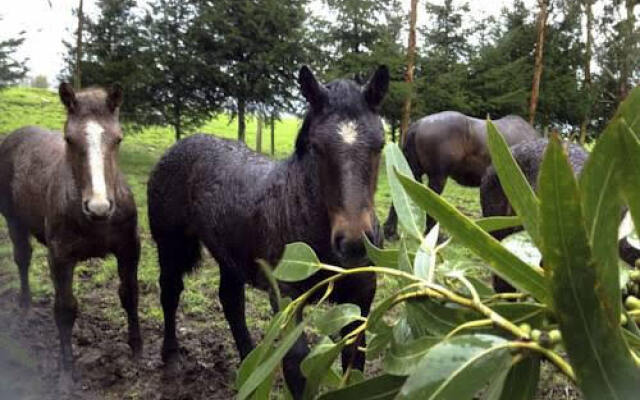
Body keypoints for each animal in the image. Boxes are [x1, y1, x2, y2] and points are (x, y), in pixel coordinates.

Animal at [149, 65, 390, 396]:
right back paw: (172, 357)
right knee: (171, 292)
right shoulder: (286, 297)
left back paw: (248, 370)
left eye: (380, 144)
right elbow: (296, 364)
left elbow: (354, 359)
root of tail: (181, 145)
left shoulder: (361, 298)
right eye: (317, 147)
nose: (354, 242)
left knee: (231, 302)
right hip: (170, 245)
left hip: (228, 256)